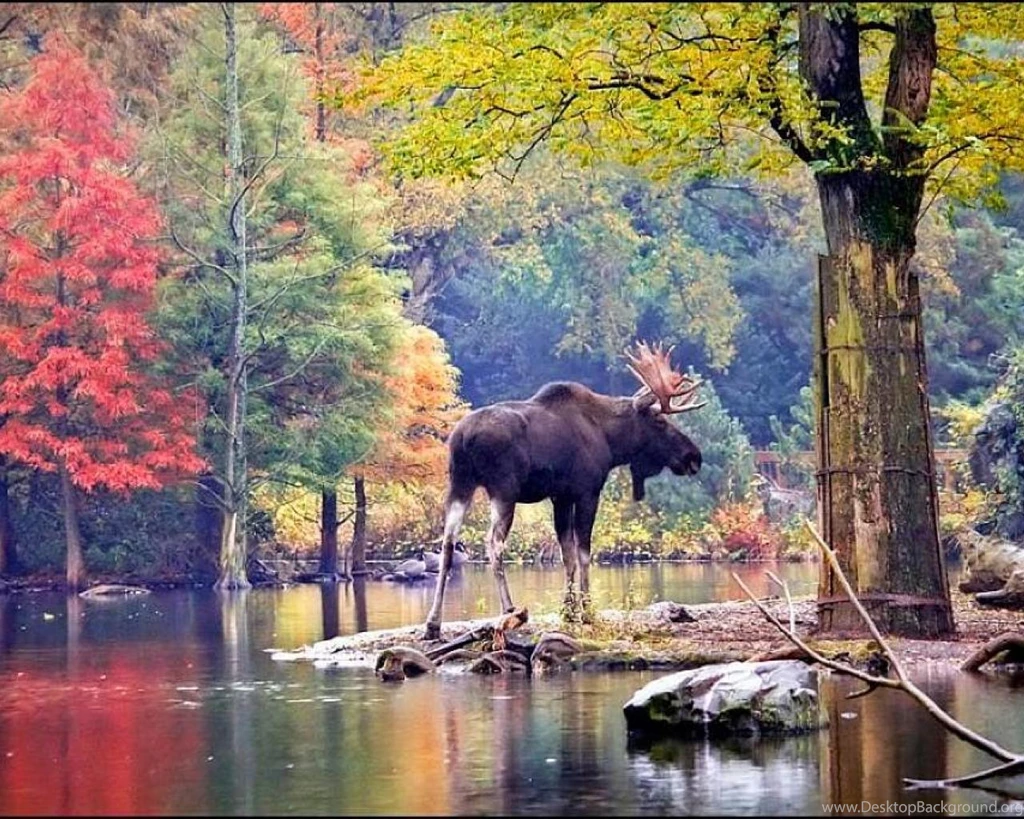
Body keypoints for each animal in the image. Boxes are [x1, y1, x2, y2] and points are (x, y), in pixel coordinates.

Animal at [423, 341, 706, 640]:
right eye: (660, 422)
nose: (693, 457)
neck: (611, 442)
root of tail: (464, 438)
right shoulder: (587, 492)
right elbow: (583, 552)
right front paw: (587, 611)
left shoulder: (561, 497)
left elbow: (566, 553)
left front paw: (568, 610)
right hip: (504, 489)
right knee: (494, 543)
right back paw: (509, 609)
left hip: (459, 484)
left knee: (447, 542)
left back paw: (433, 623)